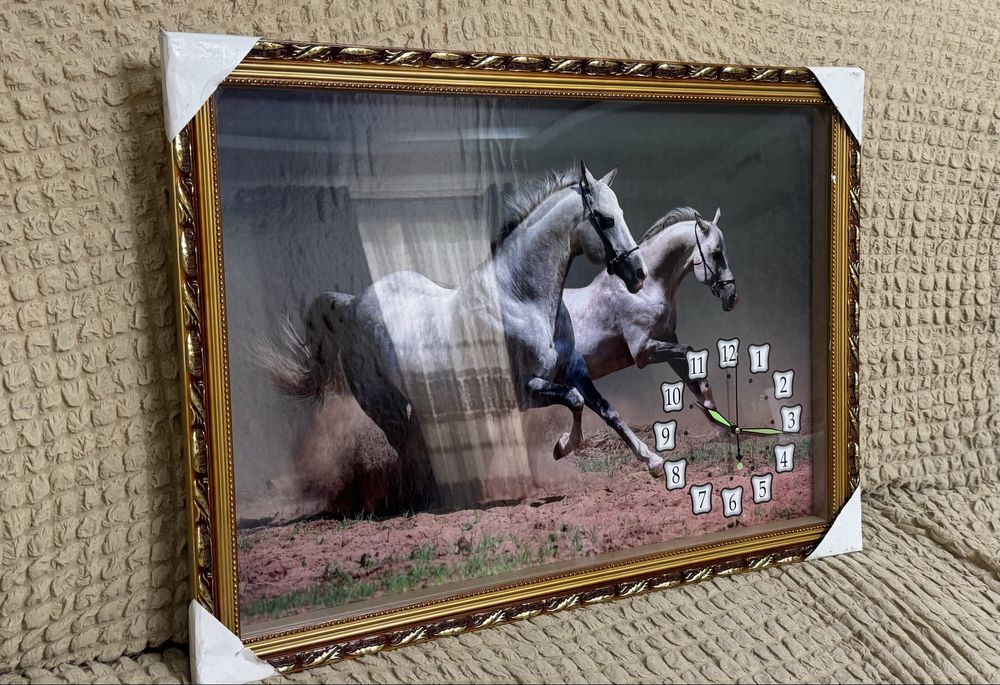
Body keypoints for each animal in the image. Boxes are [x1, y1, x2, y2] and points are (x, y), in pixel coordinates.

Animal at [267, 164, 667, 510]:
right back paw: (426, 499)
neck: (520, 298)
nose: (638, 274)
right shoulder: (525, 391)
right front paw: (561, 447)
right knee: (406, 448)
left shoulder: (574, 371)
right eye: (605, 219)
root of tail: (352, 305)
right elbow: (575, 402)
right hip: (384, 406)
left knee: (416, 447)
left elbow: (606, 409)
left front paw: (653, 461)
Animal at [564, 207, 737, 410]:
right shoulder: (642, 351)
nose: (732, 296)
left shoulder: (667, 339)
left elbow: (692, 381)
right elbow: (689, 352)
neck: (646, 289)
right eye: (716, 253)